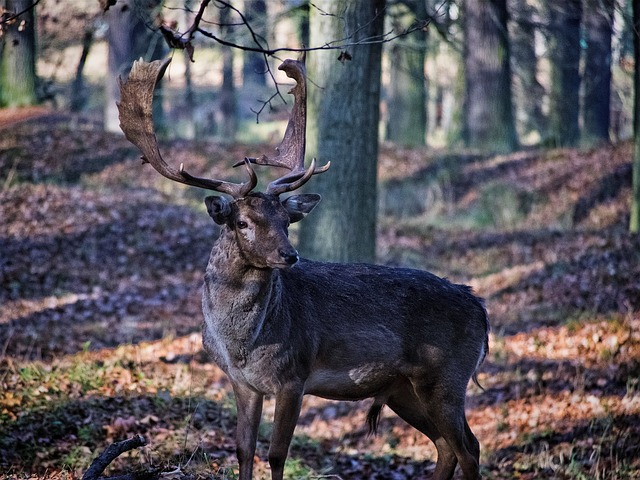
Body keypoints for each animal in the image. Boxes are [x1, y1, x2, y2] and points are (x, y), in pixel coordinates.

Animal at [119, 57, 490, 480]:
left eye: (286, 220)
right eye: (242, 222)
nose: (290, 255)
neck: (241, 344)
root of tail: (481, 309)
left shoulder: (293, 377)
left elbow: (276, 453)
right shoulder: (242, 383)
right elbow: (244, 449)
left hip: (445, 375)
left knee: (469, 448)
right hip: (403, 388)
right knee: (446, 446)